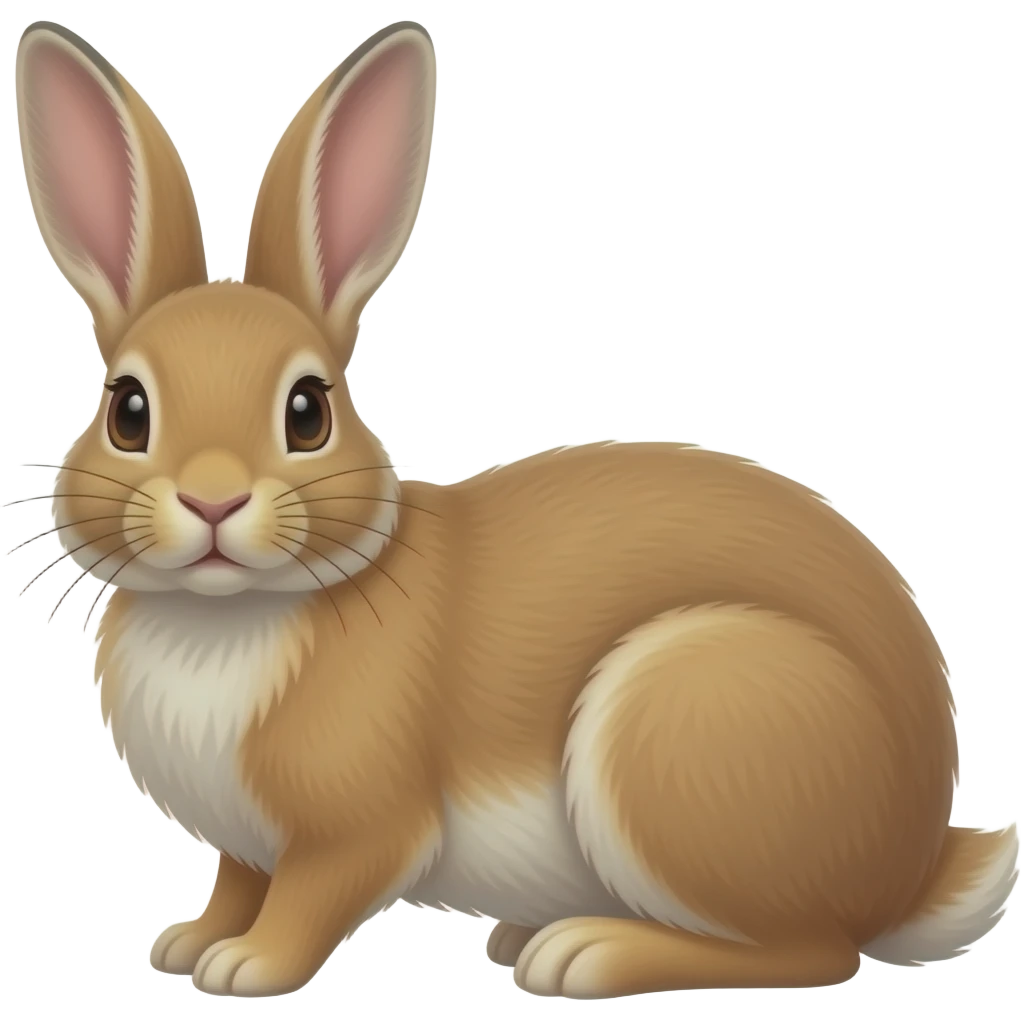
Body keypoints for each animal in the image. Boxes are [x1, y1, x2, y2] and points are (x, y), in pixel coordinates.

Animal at [14, 18, 1017, 1001]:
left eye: (307, 412)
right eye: (128, 410)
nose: (212, 497)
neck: (227, 612)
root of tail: (913, 863)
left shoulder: (356, 828)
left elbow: (311, 894)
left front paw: (246, 966)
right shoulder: (245, 846)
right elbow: (237, 880)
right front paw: (187, 942)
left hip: (680, 725)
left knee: (811, 952)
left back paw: (585, 953)